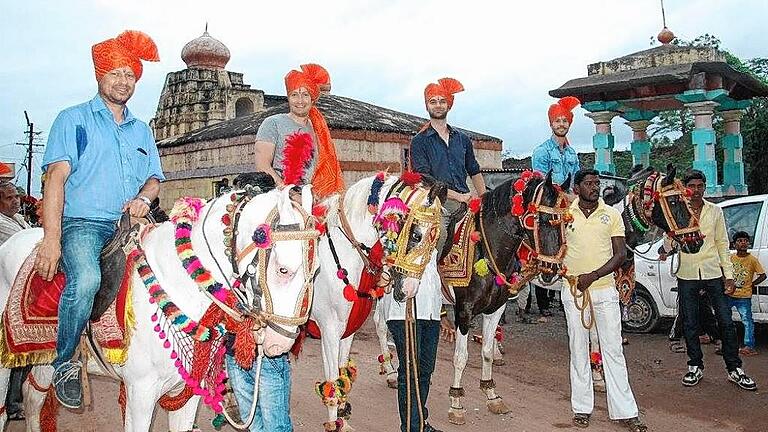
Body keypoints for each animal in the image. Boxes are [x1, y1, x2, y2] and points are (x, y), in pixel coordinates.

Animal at [0, 186, 316, 432]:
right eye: (283, 270)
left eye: (315, 273)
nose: (281, 342)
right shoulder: (139, 395)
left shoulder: (187, 394)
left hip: (44, 355)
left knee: (32, 395)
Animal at [308, 174, 444, 430]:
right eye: (415, 235)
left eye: (436, 238)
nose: (410, 290)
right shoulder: (329, 331)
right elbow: (331, 378)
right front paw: (334, 421)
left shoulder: (347, 330)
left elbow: (341, 371)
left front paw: (343, 416)